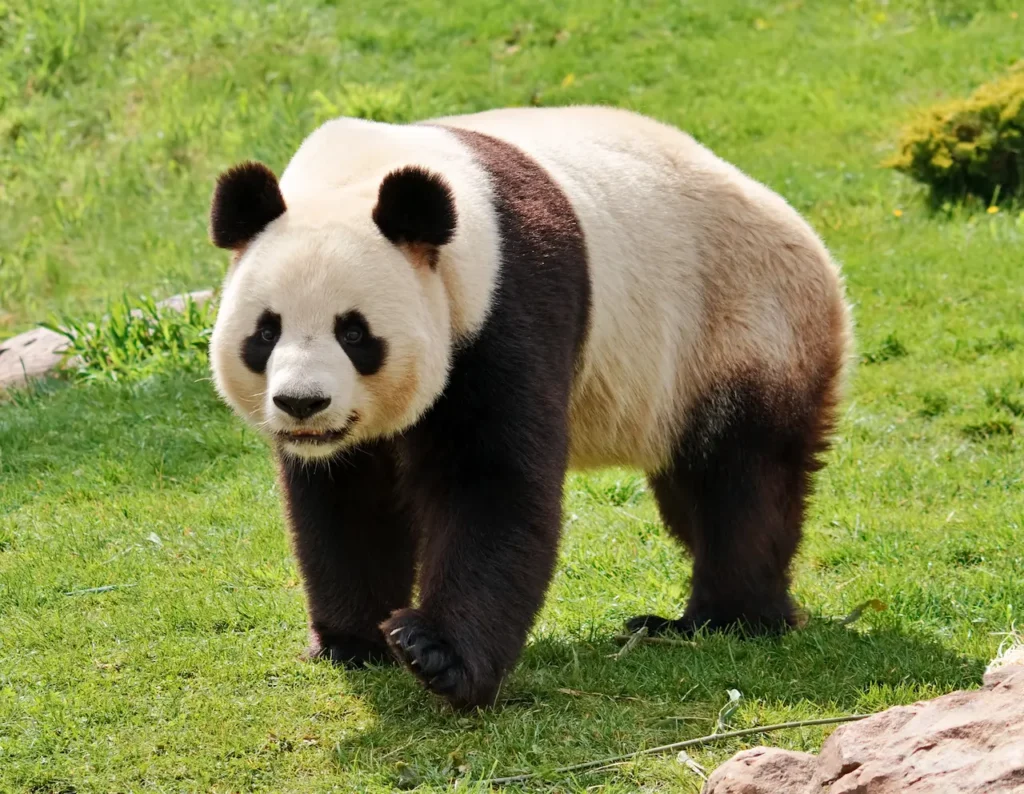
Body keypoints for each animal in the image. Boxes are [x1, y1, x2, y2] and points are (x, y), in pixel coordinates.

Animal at [205, 103, 847, 708]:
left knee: (740, 481)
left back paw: (728, 618)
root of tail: (816, 249)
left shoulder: (505, 301)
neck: (358, 175)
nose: (302, 404)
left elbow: (492, 480)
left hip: (738, 324)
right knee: (691, 493)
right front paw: (352, 642)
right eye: (266, 332)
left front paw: (435, 654)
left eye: (355, 333)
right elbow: (350, 499)